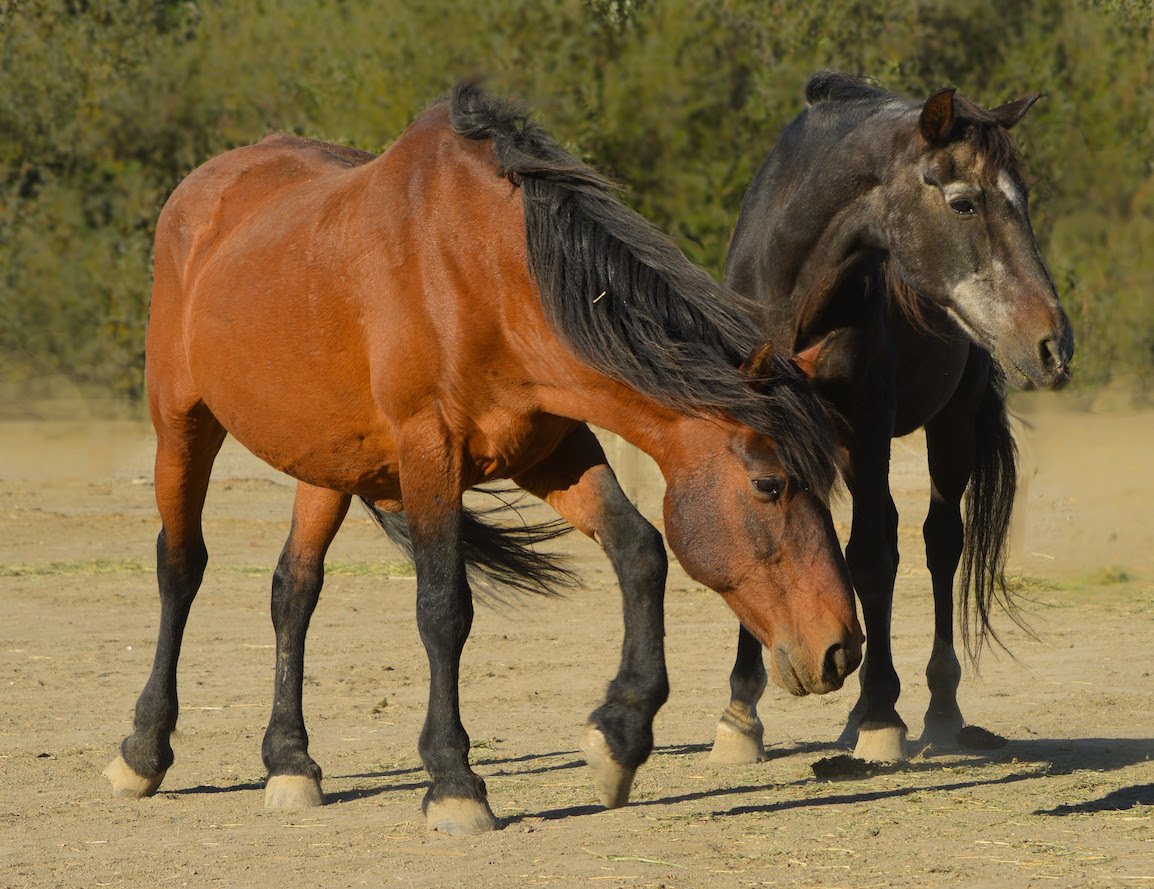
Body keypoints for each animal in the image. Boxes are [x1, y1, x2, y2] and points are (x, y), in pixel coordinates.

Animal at [108, 83, 863, 831]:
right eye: (769, 484)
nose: (841, 648)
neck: (484, 274)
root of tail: (204, 186)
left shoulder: (553, 450)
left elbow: (640, 551)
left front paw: (619, 736)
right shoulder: (429, 454)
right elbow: (444, 607)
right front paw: (454, 781)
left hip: (324, 461)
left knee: (294, 590)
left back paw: (290, 762)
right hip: (182, 424)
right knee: (180, 565)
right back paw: (144, 751)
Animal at [706, 71, 1075, 762]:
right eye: (964, 203)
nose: (1053, 346)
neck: (791, 293)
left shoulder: (868, 429)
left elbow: (871, 560)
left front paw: (882, 716)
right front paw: (740, 715)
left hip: (948, 428)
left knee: (938, 543)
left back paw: (935, 708)